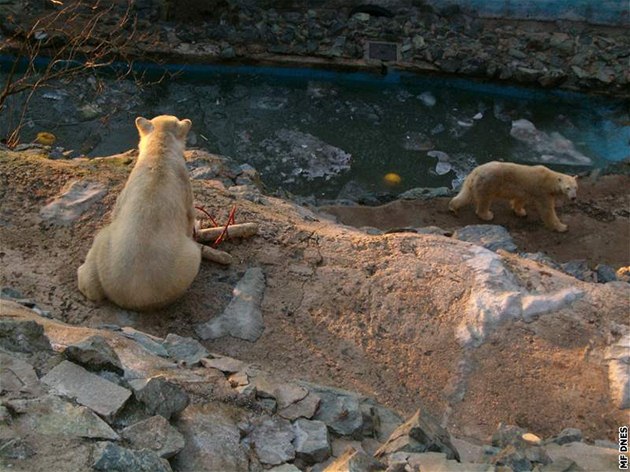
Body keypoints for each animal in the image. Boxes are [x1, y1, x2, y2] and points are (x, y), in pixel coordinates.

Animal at [76, 116, 201, 312]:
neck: (159, 151)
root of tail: (130, 297)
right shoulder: (184, 182)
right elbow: (189, 215)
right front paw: (197, 225)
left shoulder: (127, 185)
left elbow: (117, 210)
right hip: (184, 264)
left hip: (104, 251)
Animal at [452, 161, 580, 231]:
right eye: (567, 188)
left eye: (576, 187)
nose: (573, 198)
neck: (549, 180)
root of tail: (476, 170)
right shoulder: (542, 192)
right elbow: (547, 210)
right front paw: (562, 227)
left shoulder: (526, 190)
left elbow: (520, 200)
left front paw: (521, 212)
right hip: (489, 182)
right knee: (485, 199)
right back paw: (487, 215)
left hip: (474, 182)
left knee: (466, 194)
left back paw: (453, 207)